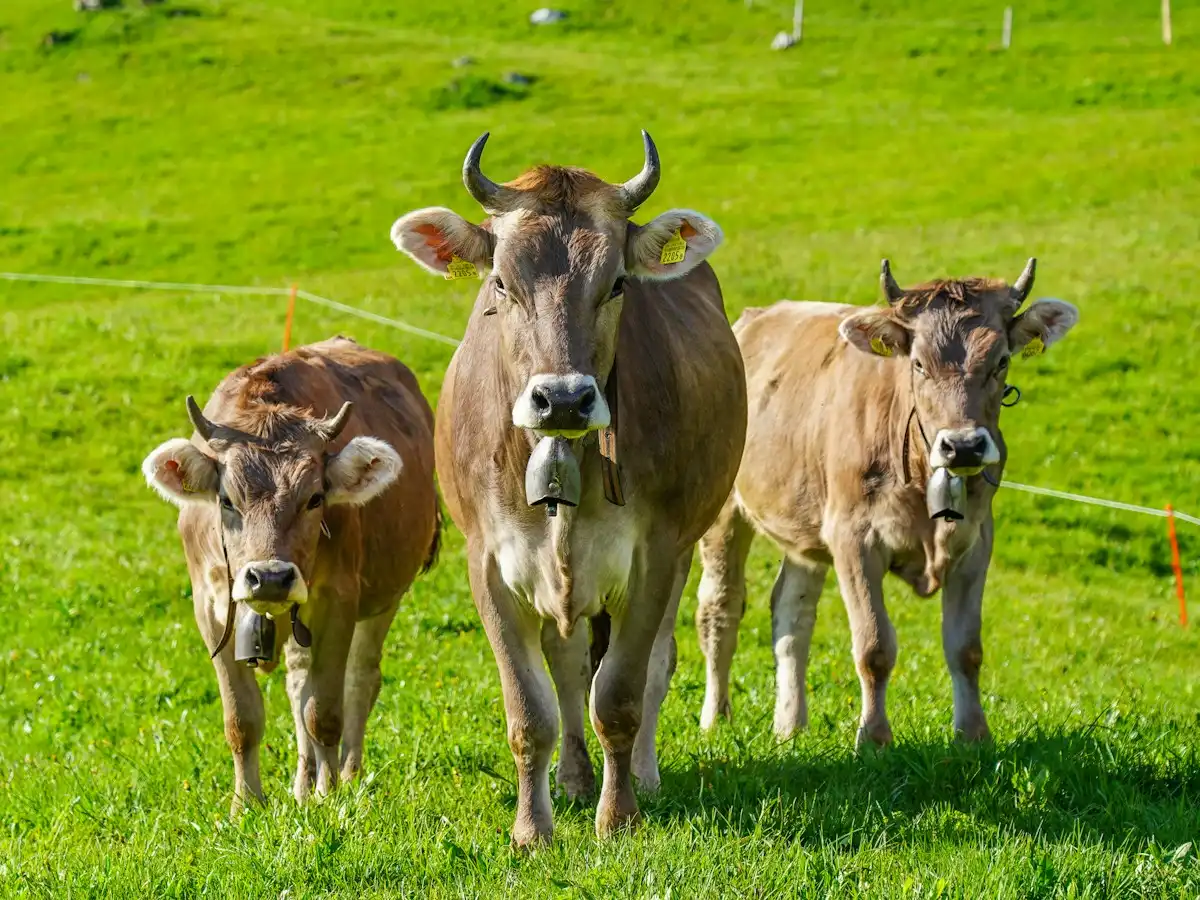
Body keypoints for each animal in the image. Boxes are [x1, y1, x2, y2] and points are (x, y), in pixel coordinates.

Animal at [141, 337, 439, 812]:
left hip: (385, 598)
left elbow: (324, 712)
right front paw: (245, 803)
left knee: (361, 679)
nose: (270, 578)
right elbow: (242, 718)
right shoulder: (211, 608)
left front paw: (329, 796)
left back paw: (347, 775)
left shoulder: (337, 602)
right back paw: (302, 784)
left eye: (315, 498)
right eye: (226, 499)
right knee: (298, 683)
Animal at [389, 132, 747, 844]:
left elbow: (622, 693)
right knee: (569, 663)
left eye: (616, 283)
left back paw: (639, 776)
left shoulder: (654, 555)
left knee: (651, 665)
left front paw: (619, 816)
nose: (562, 399)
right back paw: (576, 778)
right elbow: (532, 710)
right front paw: (534, 829)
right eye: (500, 282)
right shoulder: (489, 563)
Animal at [696, 261, 1078, 747]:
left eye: (1001, 361)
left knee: (792, 615)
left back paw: (790, 725)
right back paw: (715, 717)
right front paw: (874, 738)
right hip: (724, 512)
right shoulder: (854, 539)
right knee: (720, 608)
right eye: (918, 363)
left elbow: (966, 648)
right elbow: (874, 646)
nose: (964, 446)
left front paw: (973, 735)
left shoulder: (976, 541)